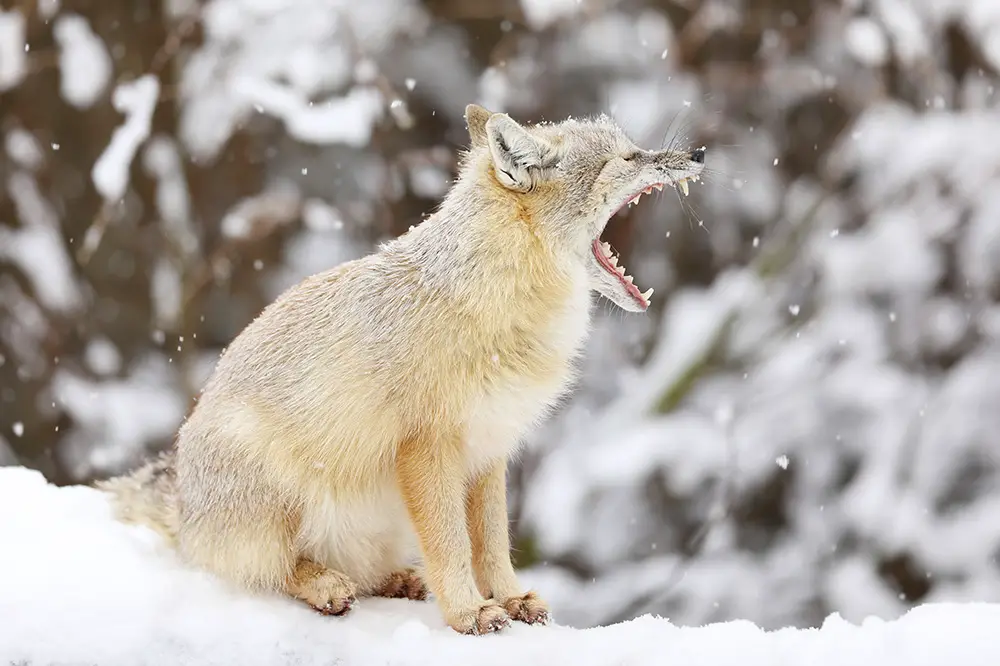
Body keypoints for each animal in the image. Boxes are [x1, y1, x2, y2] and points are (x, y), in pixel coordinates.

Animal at [99, 104, 704, 632]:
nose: (698, 151)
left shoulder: (490, 449)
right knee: (269, 570)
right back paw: (324, 583)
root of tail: (184, 507)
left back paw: (394, 579)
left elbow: (492, 543)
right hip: (281, 495)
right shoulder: (428, 447)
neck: (492, 310)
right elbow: (451, 545)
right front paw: (468, 613)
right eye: (628, 157)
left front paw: (508, 599)